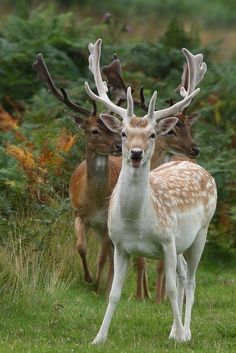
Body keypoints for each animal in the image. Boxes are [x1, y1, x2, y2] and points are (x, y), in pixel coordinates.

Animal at [31, 52, 121, 290]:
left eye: (114, 128)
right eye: (95, 130)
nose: (119, 145)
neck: (95, 201)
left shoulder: (106, 222)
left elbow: (101, 257)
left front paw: (97, 284)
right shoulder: (78, 214)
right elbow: (81, 247)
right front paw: (88, 278)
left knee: (113, 253)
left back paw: (110, 283)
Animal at [102, 51, 205, 302]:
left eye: (153, 134)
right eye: (123, 133)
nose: (136, 153)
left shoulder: (168, 242)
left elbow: (167, 278)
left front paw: (159, 300)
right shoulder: (121, 242)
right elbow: (118, 288)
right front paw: (140, 296)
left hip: (198, 234)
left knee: (188, 277)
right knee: (181, 271)